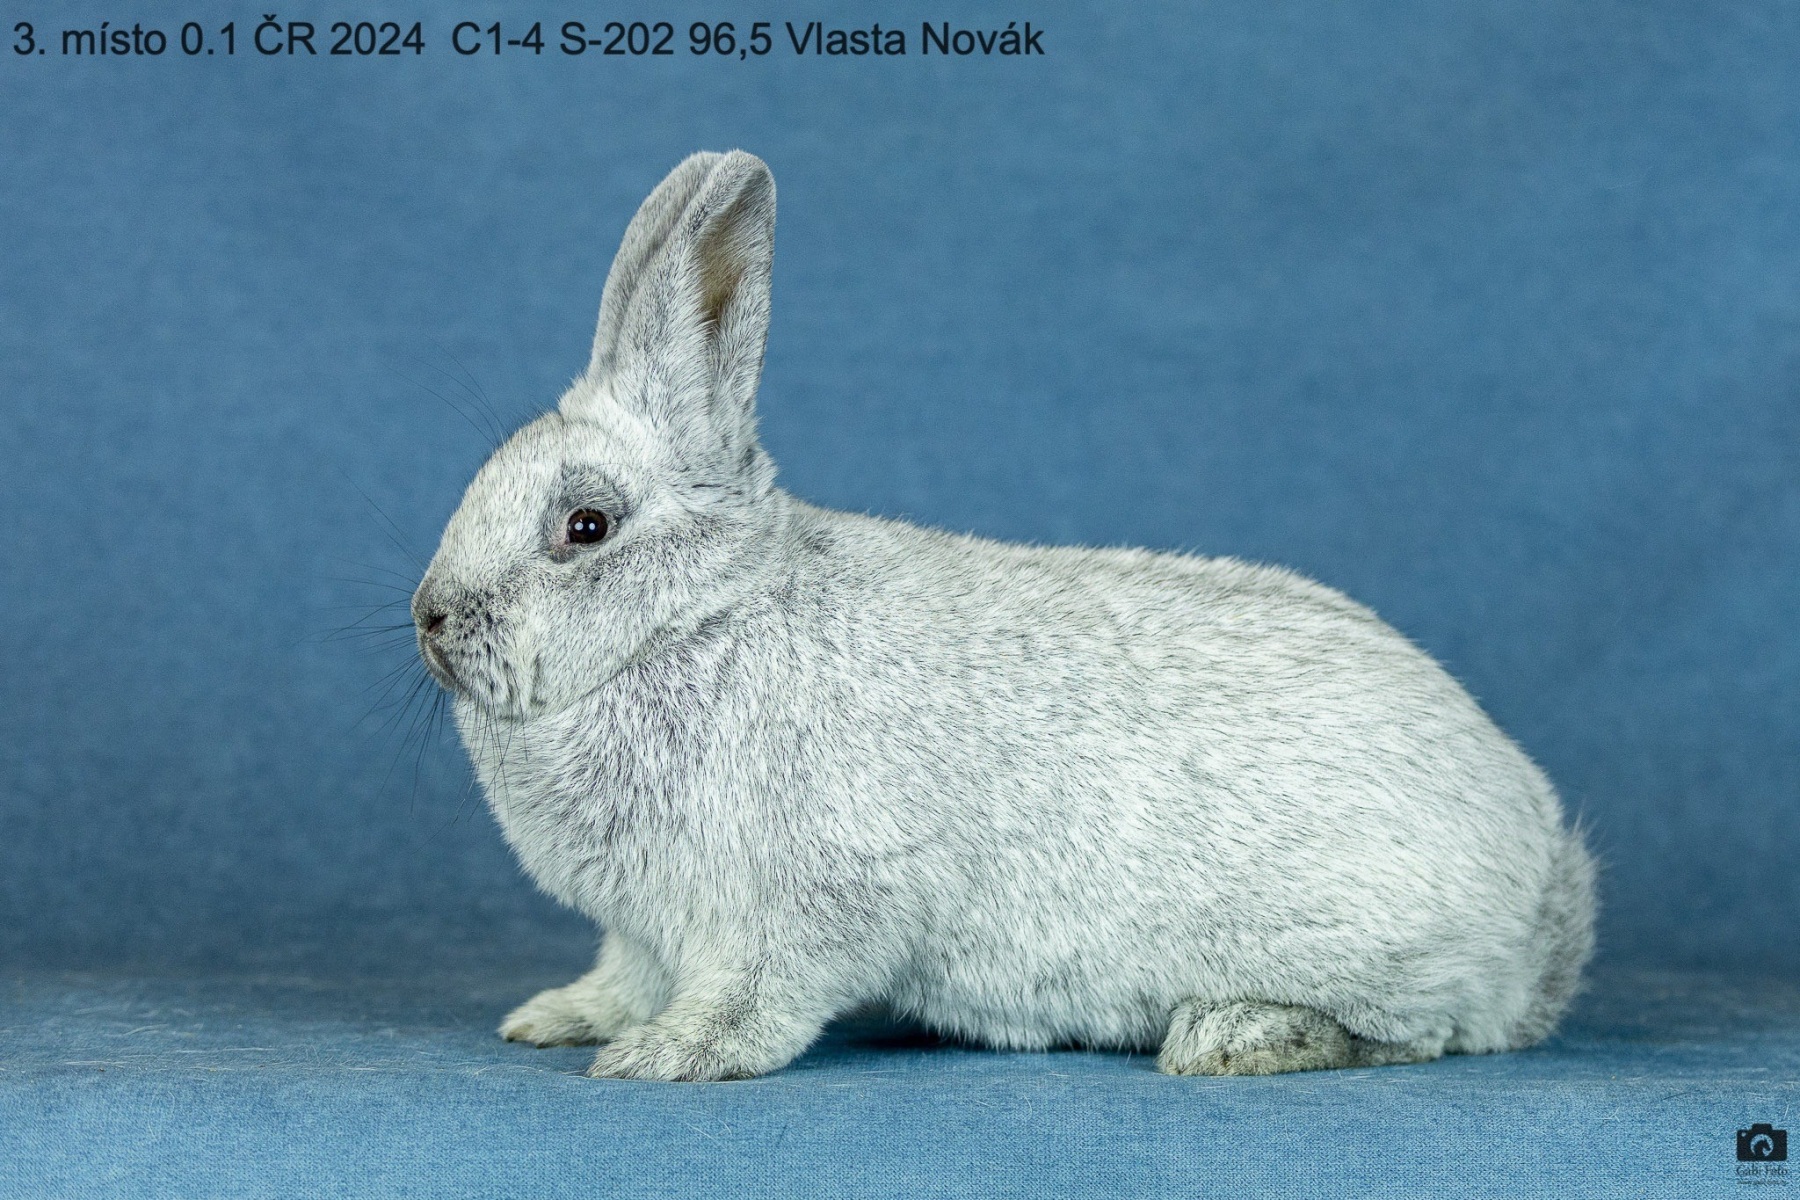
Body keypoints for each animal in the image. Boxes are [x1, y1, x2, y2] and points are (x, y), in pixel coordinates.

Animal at [411, 150, 1596, 1082]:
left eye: (587, 526)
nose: (432, 617)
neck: (698, 621)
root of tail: (1547, 900)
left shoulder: (803, 905)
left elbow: (758, 997)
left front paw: (666, 1057)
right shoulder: (645, 934)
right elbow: (624, 978)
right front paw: (558, 1021)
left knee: (1422, 1034)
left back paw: (1234, 1036)